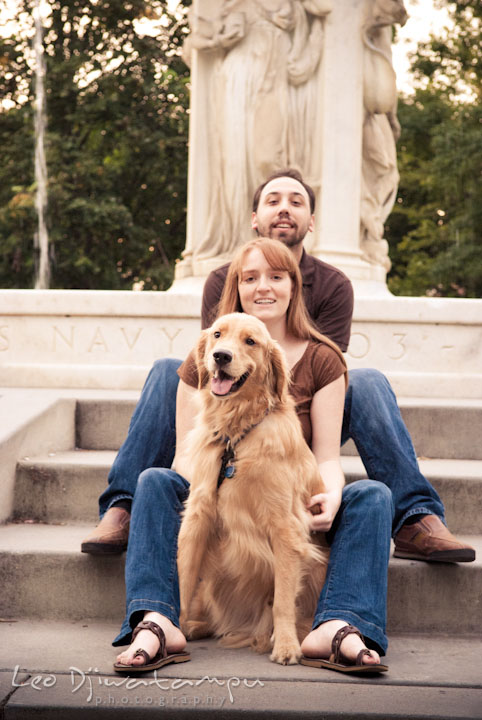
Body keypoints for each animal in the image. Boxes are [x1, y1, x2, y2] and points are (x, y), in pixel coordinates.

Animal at [176, 312, 328, 668]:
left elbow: (283, 599)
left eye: (250, 341)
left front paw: (286, 645)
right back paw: (194, 626)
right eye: (218, 335)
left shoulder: (285, 526)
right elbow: (184, 582)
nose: (221, 357)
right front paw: (170, 629)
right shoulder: (197, 516)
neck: (236, 434)